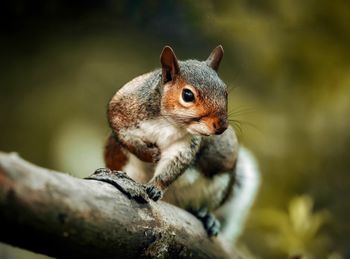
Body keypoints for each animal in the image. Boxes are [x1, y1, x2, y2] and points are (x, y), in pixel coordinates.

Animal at [100, 45, 258, 245]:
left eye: (225, 92)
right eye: (187, 95)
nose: (222, 127)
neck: (168, 122)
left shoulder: (186, 144)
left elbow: (174, 164)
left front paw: (156, 187)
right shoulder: (122, 108)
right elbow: (122, 133)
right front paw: (149, 154)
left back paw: (207, 217)